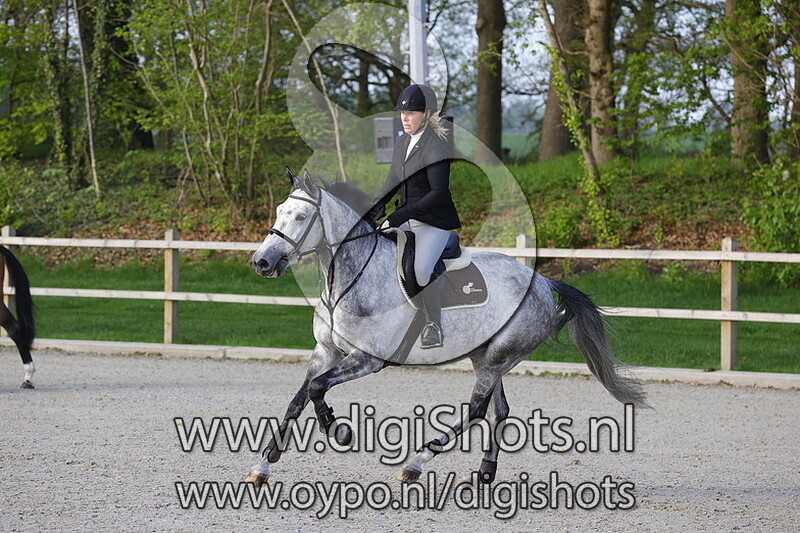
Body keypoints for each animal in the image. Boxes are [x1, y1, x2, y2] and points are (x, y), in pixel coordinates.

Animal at [245, 169, 647, 486]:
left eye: (300, 216)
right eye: (280, 212)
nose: (262, 262)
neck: (351, 276)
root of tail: (543, 282)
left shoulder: (366, 359)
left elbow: (316, 389)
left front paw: (338, 429)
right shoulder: (325, 351)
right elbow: (298, 399)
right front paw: (264, 464)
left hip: (499, 356)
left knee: (476, 410)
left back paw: (416, 462)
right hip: (487, 356)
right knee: (499, 410)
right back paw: (485, 472)